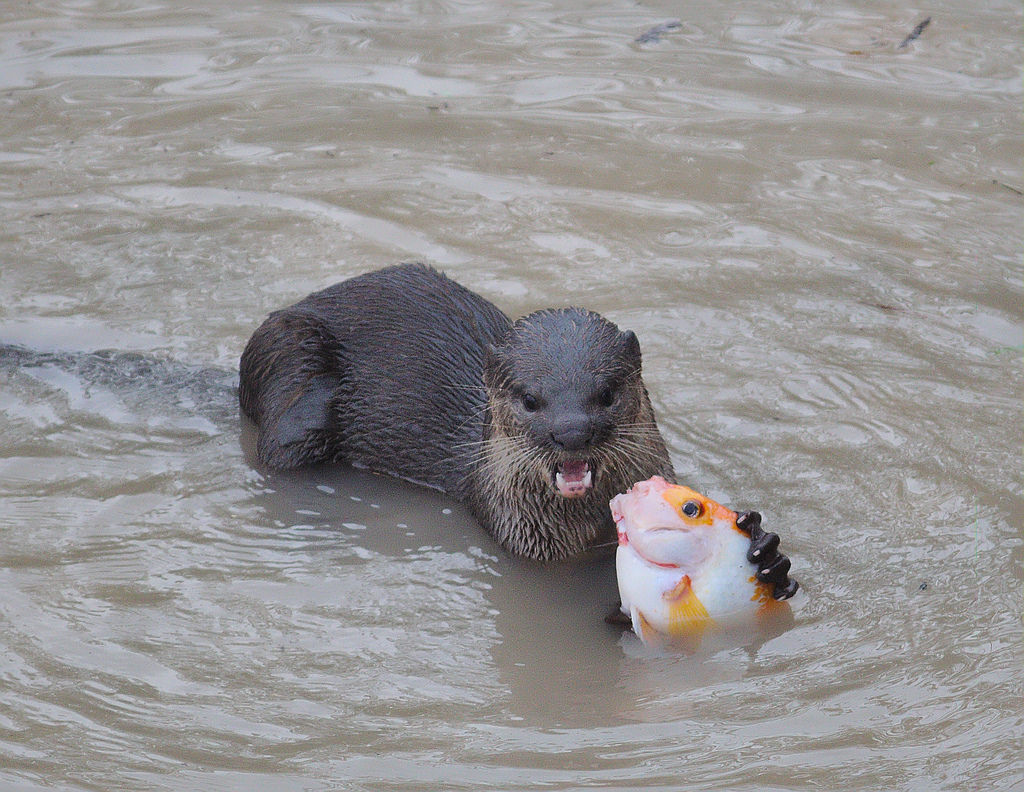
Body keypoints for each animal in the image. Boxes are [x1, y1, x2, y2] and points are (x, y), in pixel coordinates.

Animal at [239, 263, 794, 589]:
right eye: (531, 399)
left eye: (607, 393)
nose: (571, 432)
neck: (584, 528)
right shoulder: (523, 540)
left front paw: (766, 553)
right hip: (291, 371)